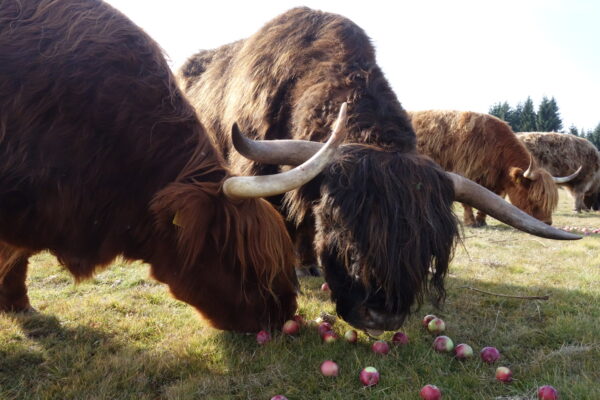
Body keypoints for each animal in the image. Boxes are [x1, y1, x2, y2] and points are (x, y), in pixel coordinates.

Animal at [410, 109, 576, 228]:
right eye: (534, 197)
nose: (547, 222)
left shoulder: (495, 184)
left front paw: (481, 221)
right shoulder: (465, 174)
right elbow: (467, 203)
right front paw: (471, 222)